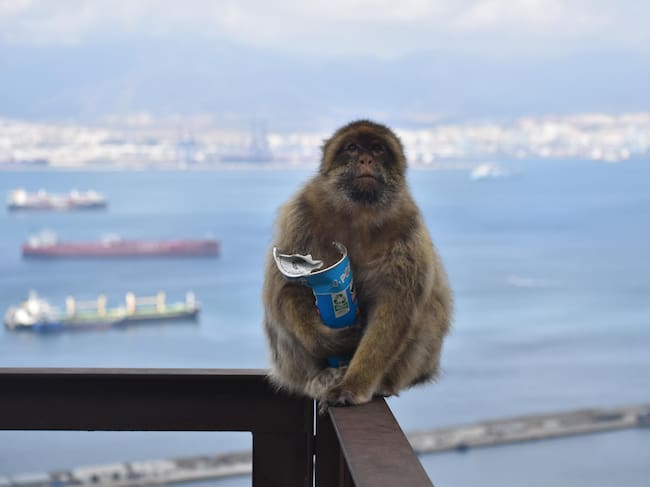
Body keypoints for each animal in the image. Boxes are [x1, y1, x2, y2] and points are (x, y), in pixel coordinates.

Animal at [263, 120, 452, 409]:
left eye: (377, 148)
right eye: (352, 148)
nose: (366, 159)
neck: (359, 214)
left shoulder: (408, 228)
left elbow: (395, 306)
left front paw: (353, 386)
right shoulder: (300, 213)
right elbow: (287, 288)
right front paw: (329, 341)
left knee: (429, 312)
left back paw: (382, 383)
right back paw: (320, 377)